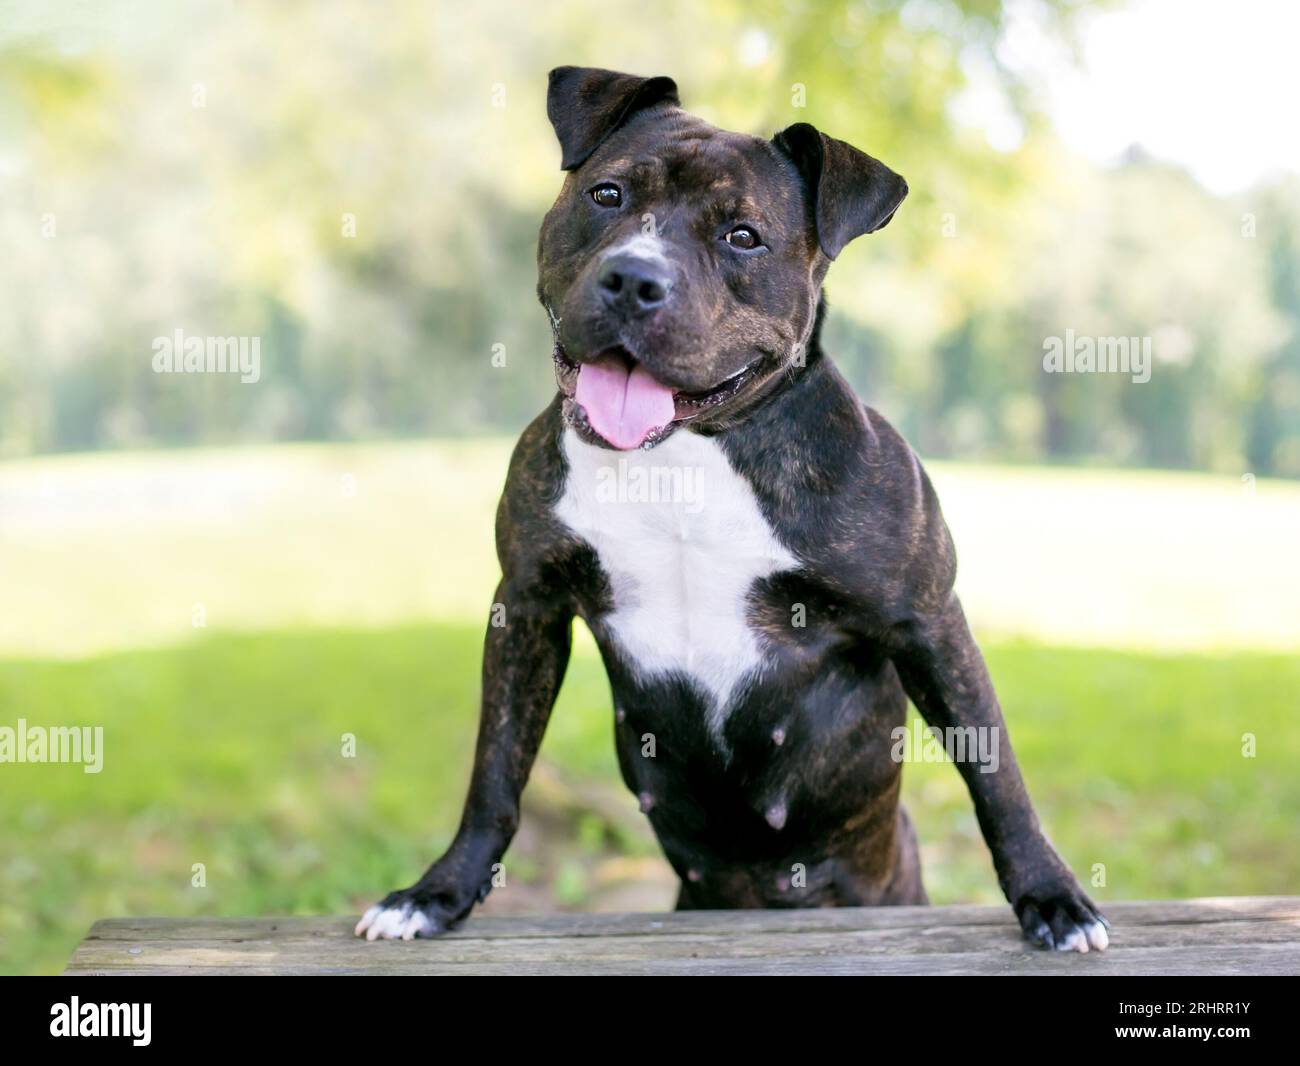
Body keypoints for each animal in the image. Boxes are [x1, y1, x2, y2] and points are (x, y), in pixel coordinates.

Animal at [356, 62, 1107, 951]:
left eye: (743, 236)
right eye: (608, 194)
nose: (634, 278)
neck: (684, 455)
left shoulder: (927, 620)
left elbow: (997, 776)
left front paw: (1051, 898)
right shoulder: (528, 606)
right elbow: (494, 772)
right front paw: (437, 894)